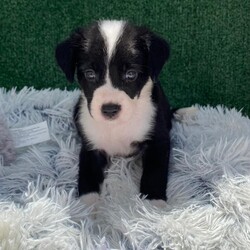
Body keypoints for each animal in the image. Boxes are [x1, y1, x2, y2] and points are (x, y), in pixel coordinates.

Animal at [55, 19, 172, 207]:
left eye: (131, 74)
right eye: (90, 74)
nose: (110, 109)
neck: (116, 126)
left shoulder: (158, 141)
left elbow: (154, 173)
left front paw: (153, 206)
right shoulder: (91, 147)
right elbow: (87, 178)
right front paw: (88, 209)